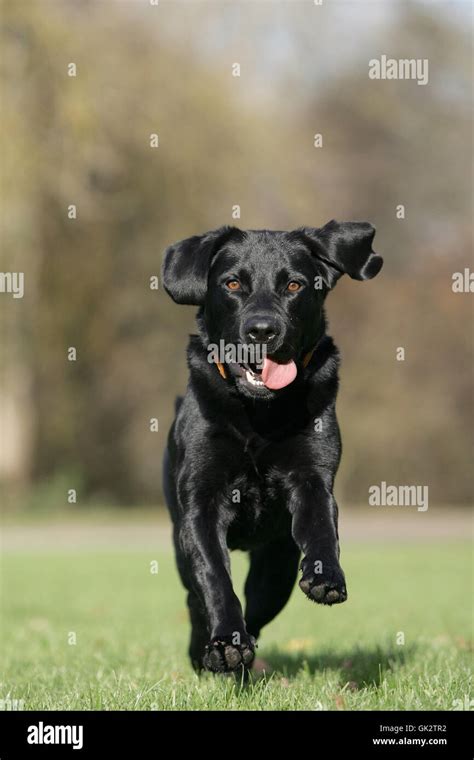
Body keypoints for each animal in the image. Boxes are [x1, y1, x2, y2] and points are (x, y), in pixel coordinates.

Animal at [162, 220, 382, 672]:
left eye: (295, 285)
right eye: (232, 283)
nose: (262, 331)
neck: (259, 414)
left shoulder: (312, 477)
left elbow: (321, 526)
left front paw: (326, 576)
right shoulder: (200, 503)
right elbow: (214, 578)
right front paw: (224, 643)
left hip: (275, 571)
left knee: (257, 611)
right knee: (196, 599)